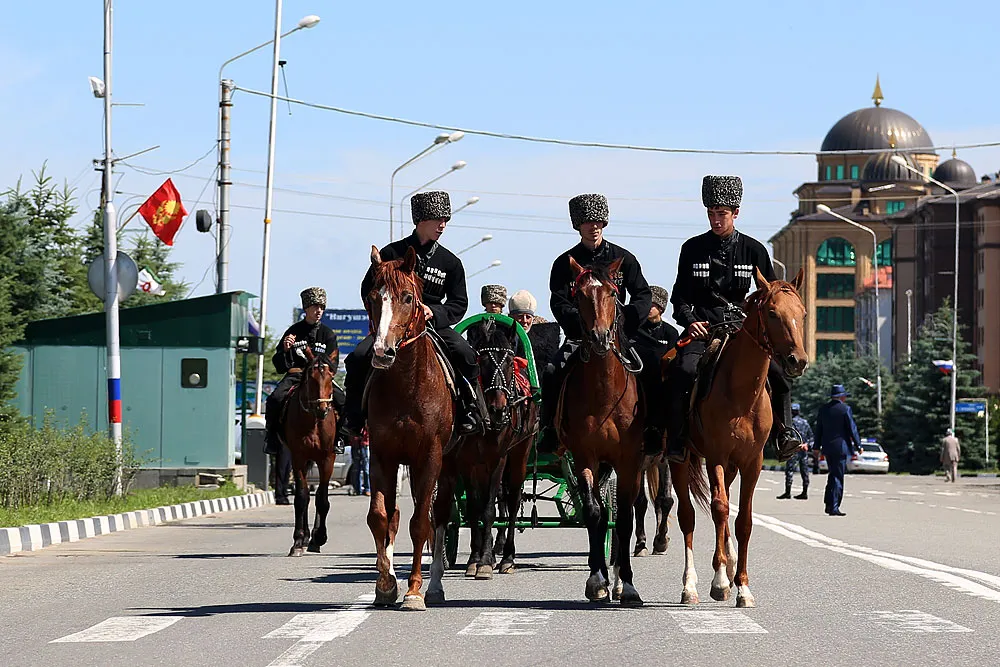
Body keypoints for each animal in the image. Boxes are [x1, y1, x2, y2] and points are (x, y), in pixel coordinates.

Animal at [282, 350, 340, 560]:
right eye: (310, 378)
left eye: (331, 376)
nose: (322, 409)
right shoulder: (298, 458)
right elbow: (301, 497)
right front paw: (299, 541)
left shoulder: (327, 459)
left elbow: (322, 499)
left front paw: (319, 537)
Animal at [434, 318, 536, 580]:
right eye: (482, 361)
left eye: (509, 361)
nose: (499, 409)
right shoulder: (467, 462)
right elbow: (474, 509)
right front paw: (474, 558)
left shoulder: (497, 459)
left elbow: (489, 509)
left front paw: (487, 562)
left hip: (520, 452)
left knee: (512, 500)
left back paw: (508, 557)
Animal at [556, 256, 648, 604]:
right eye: (580, 294)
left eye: (611, 292)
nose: (598, 337)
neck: (605, 391)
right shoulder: (585, 456)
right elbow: (594, 512)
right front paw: (596, 580)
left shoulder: (630, 462)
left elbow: (623, 518)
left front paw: (629, 585)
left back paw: (620, 579)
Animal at [668, 268, 808, 612]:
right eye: (772, 313)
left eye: (802, 313)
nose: (797, 361)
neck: (742, 393)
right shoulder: (716, 456)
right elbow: (719, 508)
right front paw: (719, 581)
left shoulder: (752, 462)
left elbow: (743, 519)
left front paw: (742, 585)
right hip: (682, 460)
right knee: (688, 516)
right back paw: (690, 585)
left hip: (731, 467)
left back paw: (729, 562)